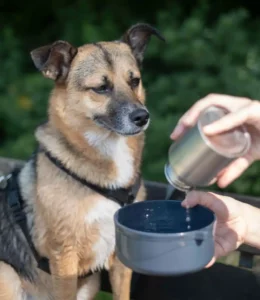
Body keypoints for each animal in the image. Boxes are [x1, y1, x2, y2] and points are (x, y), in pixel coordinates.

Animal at [0, 23, 165, 300]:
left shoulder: (121, 259)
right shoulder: (64, 258)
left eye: (134, 81)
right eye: (101, 87)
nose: (142, 117)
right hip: (7, 274)